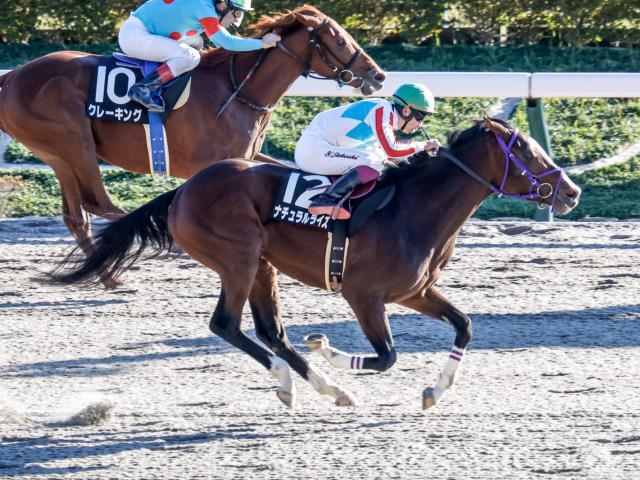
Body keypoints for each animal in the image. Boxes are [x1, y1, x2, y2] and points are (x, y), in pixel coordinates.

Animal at [0, 4, 384, 255]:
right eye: (339, 41)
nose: (378, 75)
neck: (237, 89)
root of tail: (13, 77)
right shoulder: (209, 165)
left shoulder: (246, 156)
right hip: (73, 141)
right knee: (98, 202)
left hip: (57, 154)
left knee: (76, 214)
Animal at [50, 118, 580, 410]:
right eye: (525, 150)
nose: (571, 191)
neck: (413, 209)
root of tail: (183, 190)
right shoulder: (363, 295)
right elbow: (386, 356)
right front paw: (329, 349)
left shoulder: (414, 291)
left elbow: (465, 325)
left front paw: (434, 392)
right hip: (238, 258)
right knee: (227, 325)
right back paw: (299, 382)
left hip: (262, 265)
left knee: (270, 332)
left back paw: (322, 388)